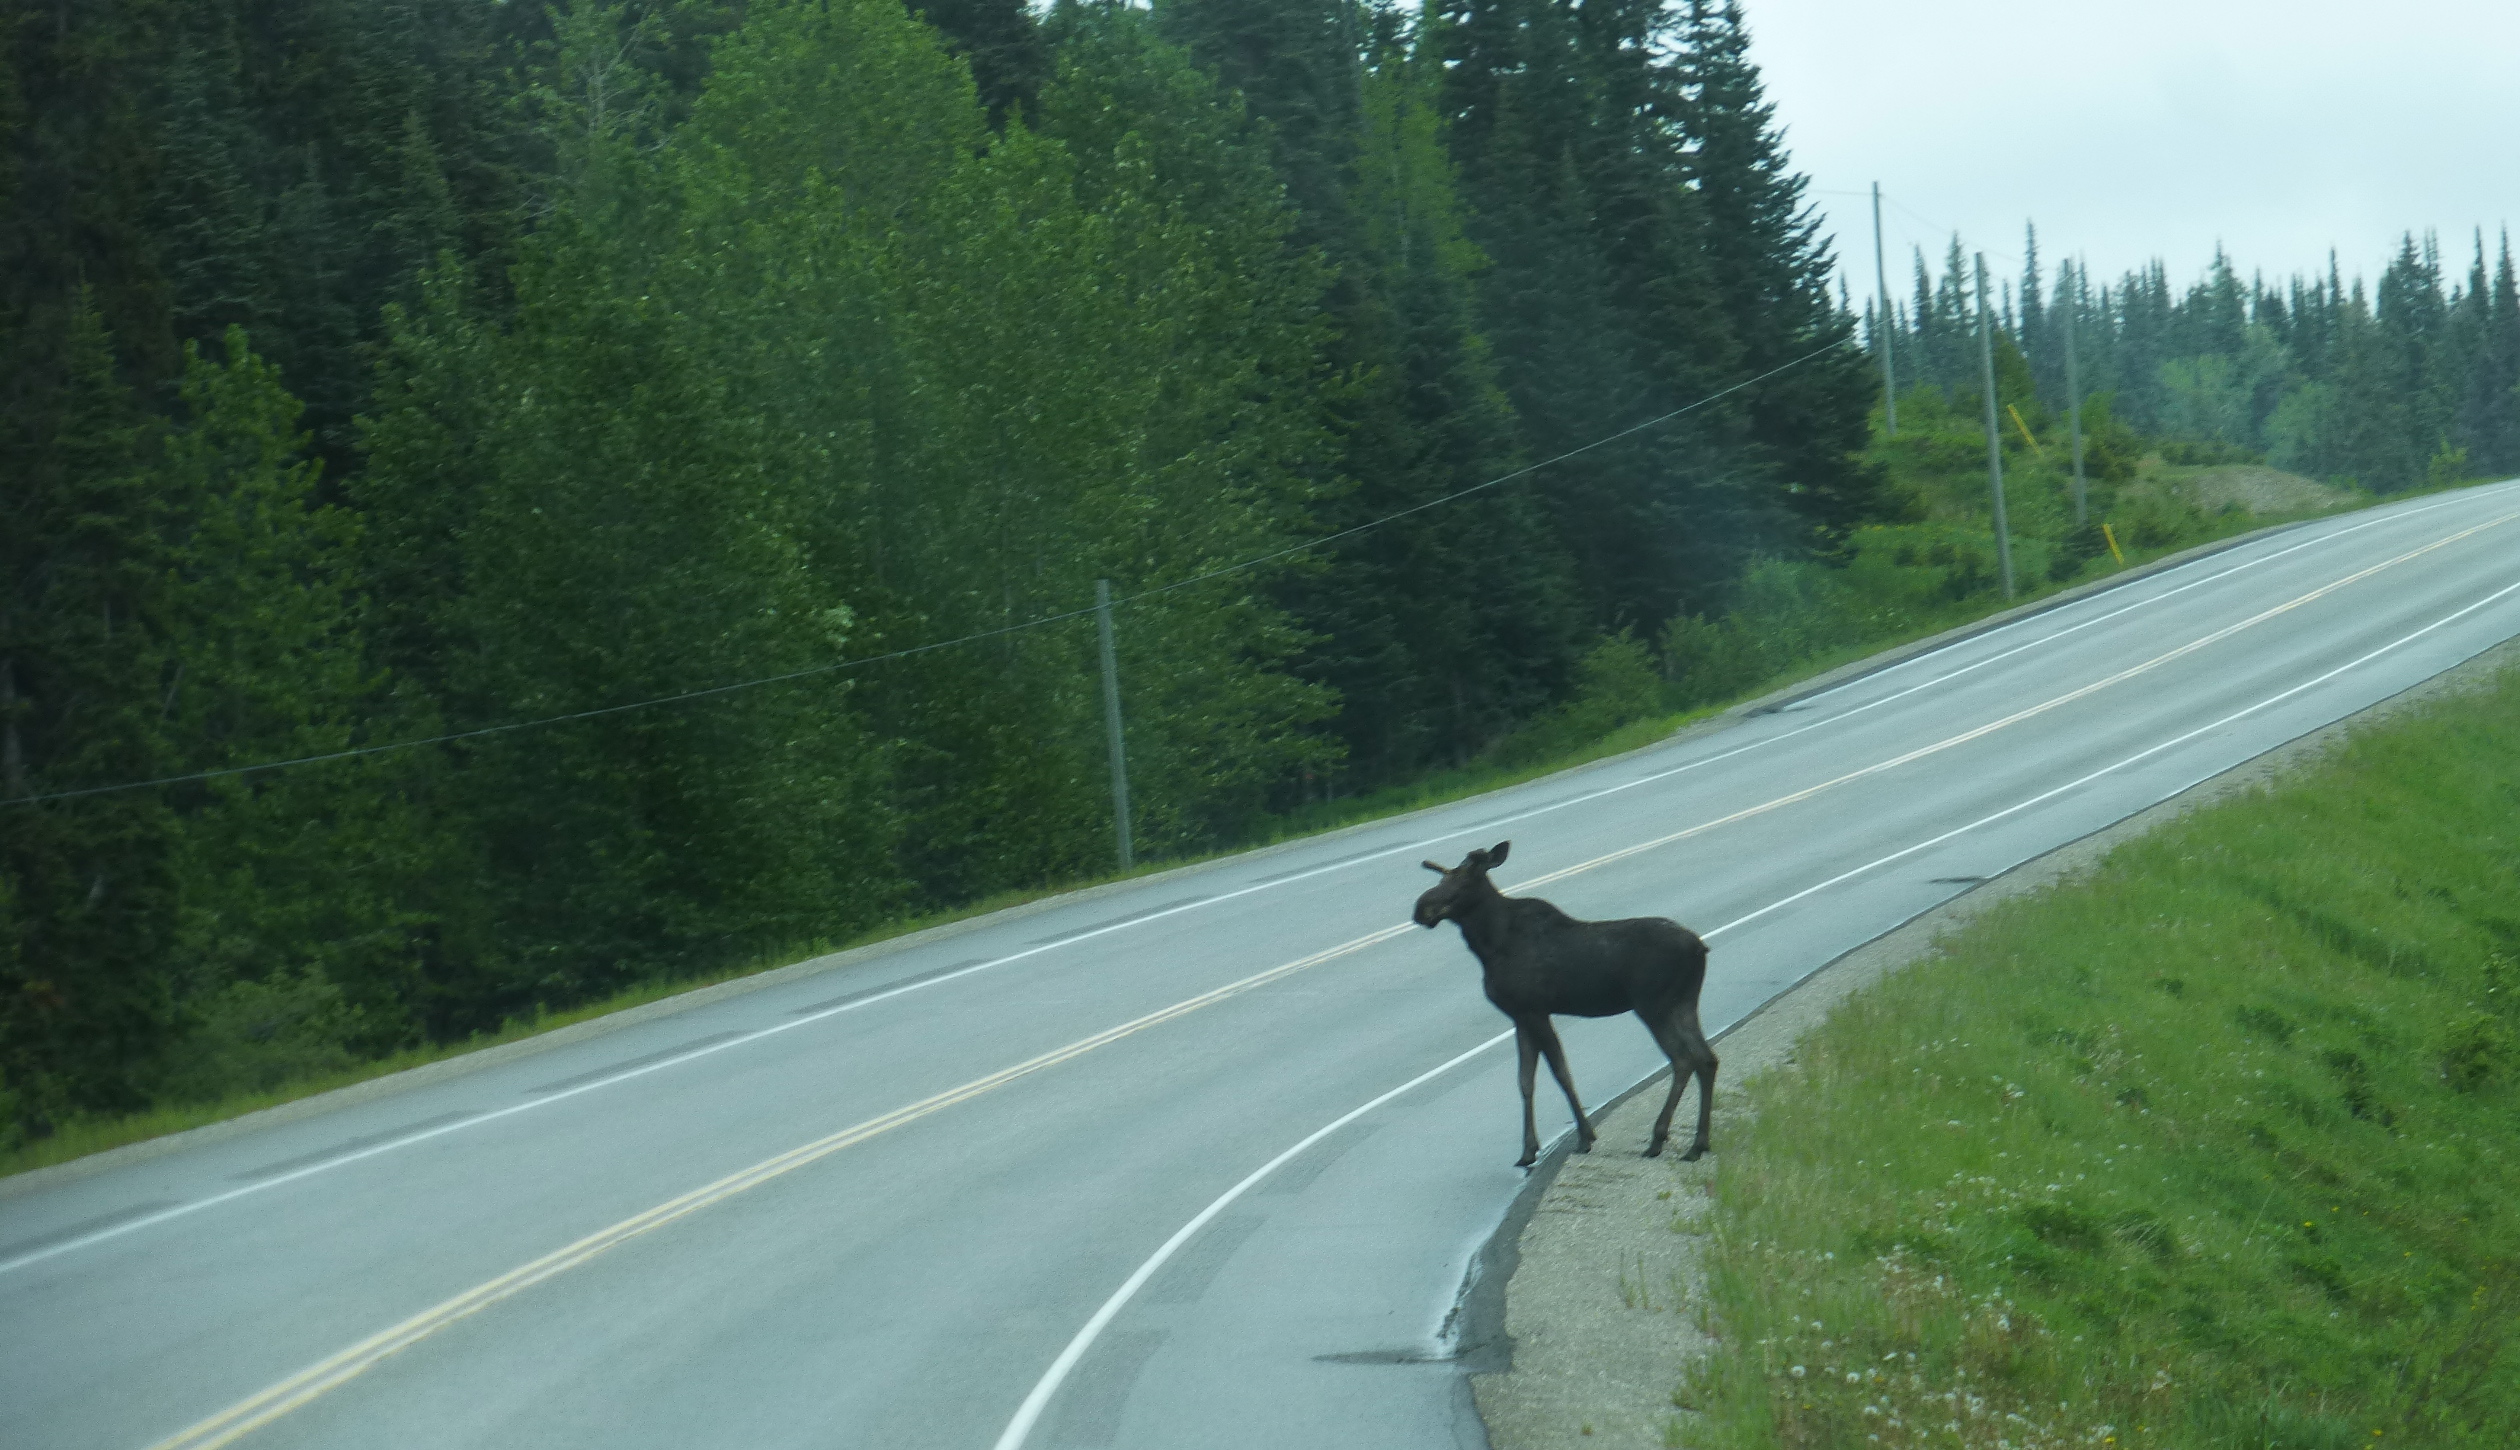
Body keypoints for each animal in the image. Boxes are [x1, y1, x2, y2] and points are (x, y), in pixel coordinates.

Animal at [1414, 841, 1717, 1168]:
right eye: (1443, 876)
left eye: (1465, 877)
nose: (1420, 908)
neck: (1488, 945)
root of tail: (1700, 948)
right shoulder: (1520, 1016)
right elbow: (1525, 1081)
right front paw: (1527, 1151)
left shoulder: (1535, 1011)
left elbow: (1561, 1073)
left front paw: (1585, 1137)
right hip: (1683, 1003)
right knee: (1706, 1059)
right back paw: (1698, 1144)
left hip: (1653, 1005)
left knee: (1683, 1059)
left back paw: (1659, 1139)